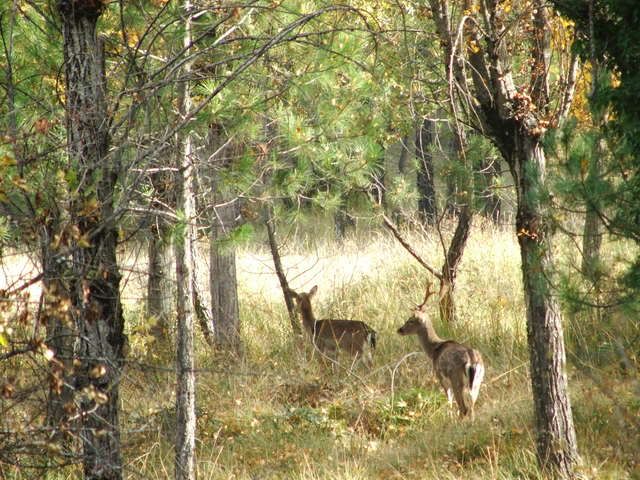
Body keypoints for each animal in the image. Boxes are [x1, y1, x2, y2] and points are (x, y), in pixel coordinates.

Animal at [396, 284, 484, 418]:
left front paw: (449, 416)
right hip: (477, 381)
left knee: (463, 408)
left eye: (410, 320)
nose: (399, 330)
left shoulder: (441, 377)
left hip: (456, 379)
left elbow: (449, 401)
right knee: (472, 407)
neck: (434, 350)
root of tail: (472, 361)